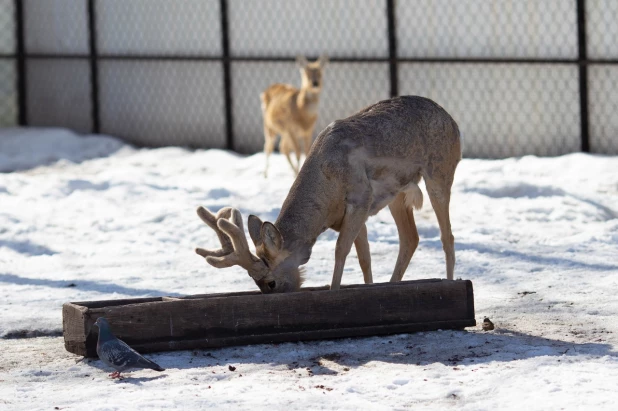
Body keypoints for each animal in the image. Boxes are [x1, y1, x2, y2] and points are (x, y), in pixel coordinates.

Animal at [195, 95, 460, 294]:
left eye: (270, 282)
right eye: (256, 283)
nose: (279, 293)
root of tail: (453, 121)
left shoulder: (361, 197)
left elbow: (340, 250)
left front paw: (334, 292)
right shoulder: (351, 214)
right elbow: (364, 258)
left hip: (440, 170)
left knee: (447, 235)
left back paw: (450, 282)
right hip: (397, 194)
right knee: (410, 238)